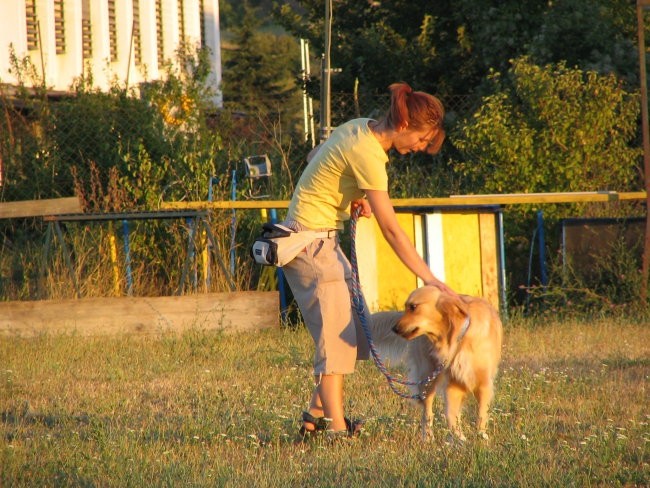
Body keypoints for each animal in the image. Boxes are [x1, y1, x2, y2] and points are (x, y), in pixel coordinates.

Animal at [370, 286, 502, 442]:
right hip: (427, 378)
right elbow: (451, 415)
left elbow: (481, 415)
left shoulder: (483, 383)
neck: (458, 338)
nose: (394, 328)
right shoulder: (452, 384)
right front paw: (459, 439)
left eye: (413, 307)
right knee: (427, 413)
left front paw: (480, 437)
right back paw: (427, 439)